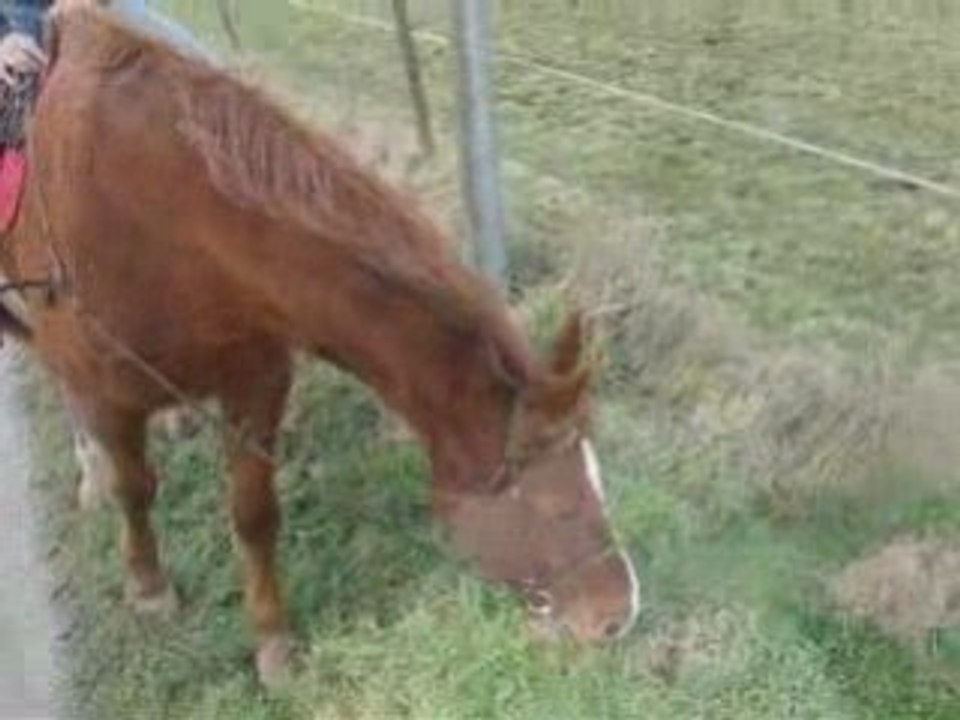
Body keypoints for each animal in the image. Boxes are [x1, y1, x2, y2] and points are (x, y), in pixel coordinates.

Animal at [0, 8, 639, 684]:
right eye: (558, 506)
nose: (620, 613)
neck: (159, 216)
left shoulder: (254, 382)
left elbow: (254, 513)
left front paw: (274, 642)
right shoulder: (109, 392)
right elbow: (134, 489)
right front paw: (149, 587)